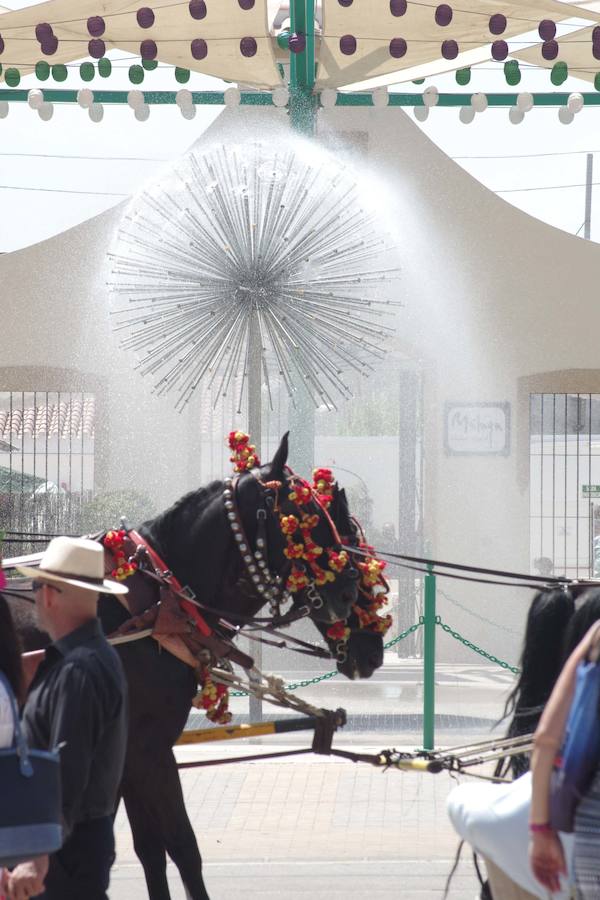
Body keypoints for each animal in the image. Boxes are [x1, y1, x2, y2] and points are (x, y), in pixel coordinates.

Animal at [7, 434, 384, 892]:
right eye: (306, 517)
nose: (348, 595)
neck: (153, 602)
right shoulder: (147, 750)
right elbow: (182, 848)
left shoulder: (127, 758)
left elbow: (150, 851)